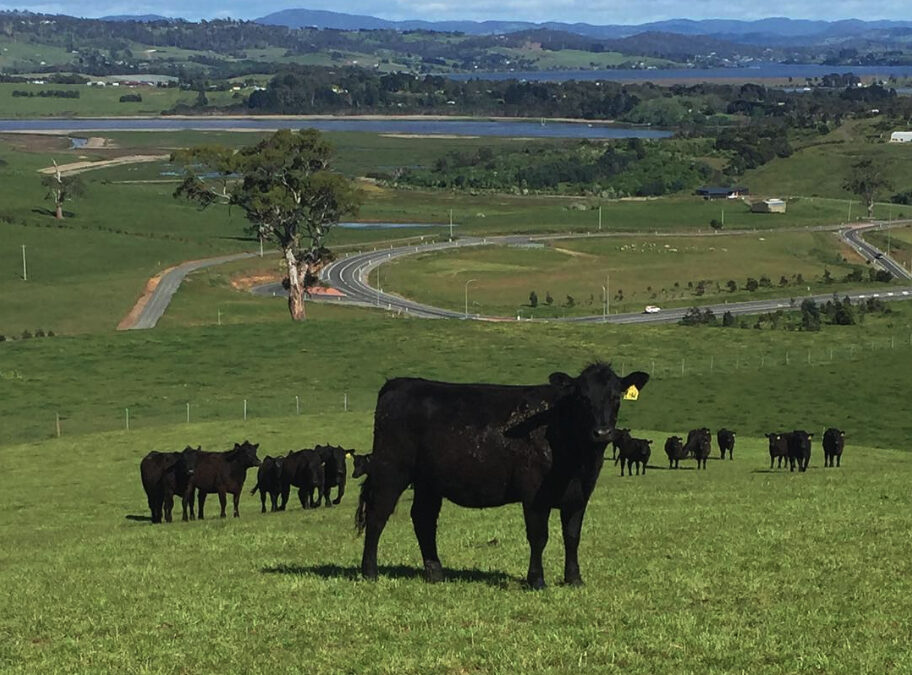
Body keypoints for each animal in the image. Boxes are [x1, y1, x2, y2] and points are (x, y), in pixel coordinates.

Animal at [352, 362, 644, 588]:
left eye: (616, 398)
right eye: (583, 398)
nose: (603, 433)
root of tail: (399, 384)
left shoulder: (579, 495)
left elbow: (572, 537)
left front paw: (574, 579)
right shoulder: (534, 494)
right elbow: (539, 537)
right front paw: (537, 581)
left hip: (428, 481)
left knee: (423, 519)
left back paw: (436, 574)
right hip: (391, 470)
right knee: (377, 516)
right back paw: (370, 573)